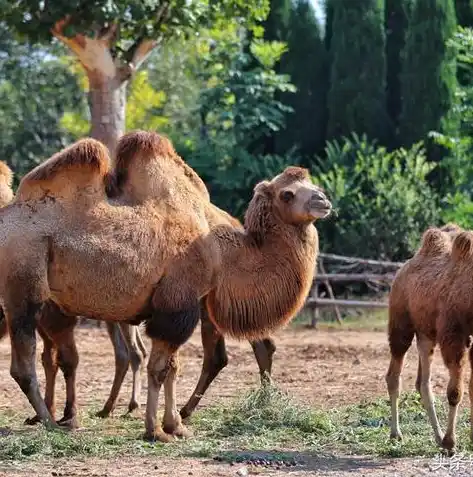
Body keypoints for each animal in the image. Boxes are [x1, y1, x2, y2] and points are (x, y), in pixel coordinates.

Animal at [0, 129, 332, 438]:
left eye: (314, 185)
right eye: (287, 194)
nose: (324, 201)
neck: (221, 248)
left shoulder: (180, 303)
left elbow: (172, 367)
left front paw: (175, 426)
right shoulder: (177, 302)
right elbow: (160, 368)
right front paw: (156, 430)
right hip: (24, 287)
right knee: (24, 364)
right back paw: (49, 422)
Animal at [386, 222, 460, 446]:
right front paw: (450, 442)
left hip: (426, 333)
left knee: (421, 382)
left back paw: (437, 437)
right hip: (402, 324)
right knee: (395, 376)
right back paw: (397, 433)